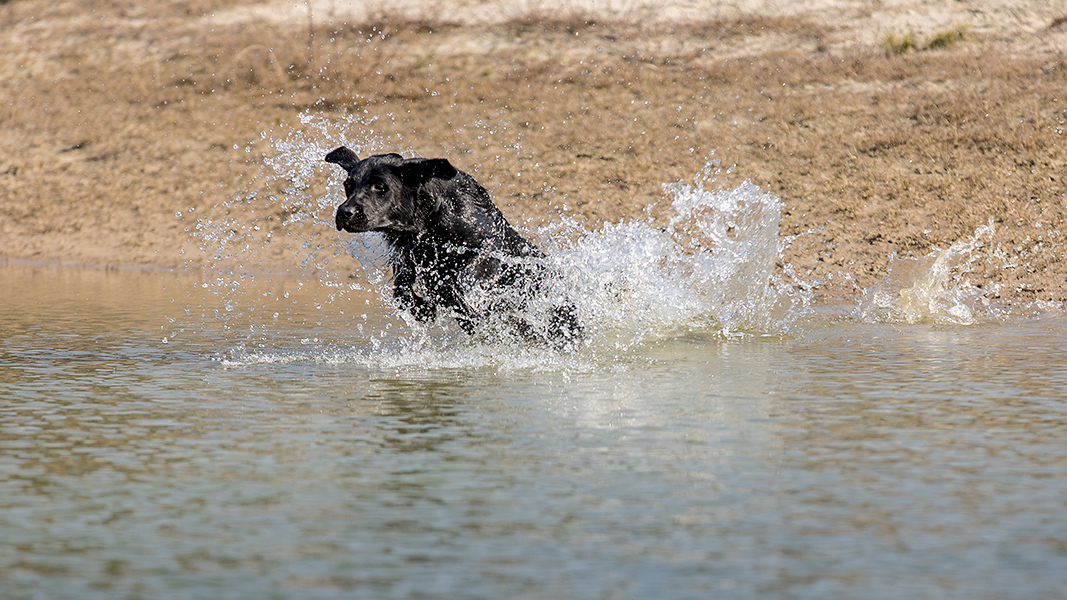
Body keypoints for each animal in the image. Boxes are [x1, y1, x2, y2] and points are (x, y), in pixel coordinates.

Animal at [324, 146, 580, 345]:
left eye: (380, 186)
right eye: (348, 185)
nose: (344, 212)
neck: (428, 221)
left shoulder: (489, 245)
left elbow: (461, 278)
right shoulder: (405, 257)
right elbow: (402, 291)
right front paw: (424, 309)